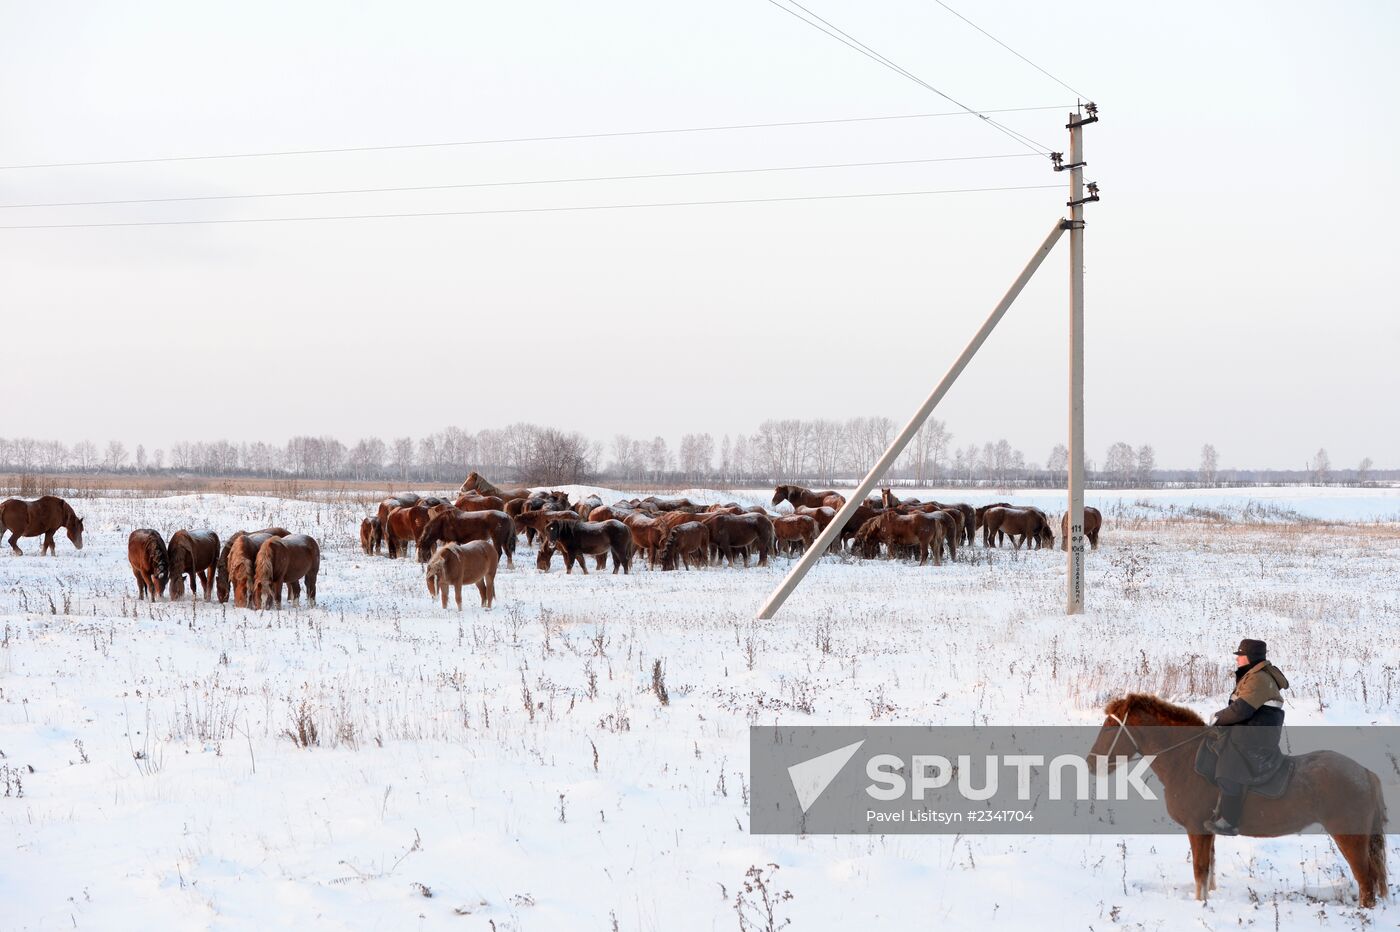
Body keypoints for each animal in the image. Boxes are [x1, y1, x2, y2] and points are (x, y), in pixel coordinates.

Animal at [1092, 694, 1388, 901]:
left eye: (1110, 727)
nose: (1090, 763)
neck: (1185, 760)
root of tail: (1364, 772)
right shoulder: (1207, 831)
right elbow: (1209, 868)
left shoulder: (1196, 828)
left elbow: (1200, 870)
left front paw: (1201, 904)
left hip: (1349, 837)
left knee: (1366, 881)